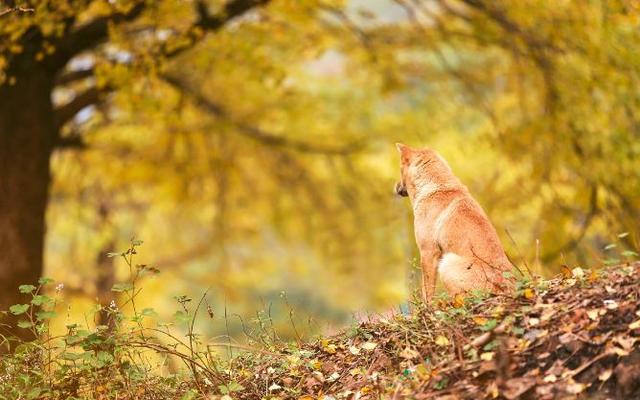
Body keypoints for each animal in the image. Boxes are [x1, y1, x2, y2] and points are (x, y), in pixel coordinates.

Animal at [396, 143, 516, 300]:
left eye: (400, 169)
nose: (396, 187)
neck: (435, 186)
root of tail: (508, 291)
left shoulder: (428, 251)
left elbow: (427, 293)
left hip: (446, 264)